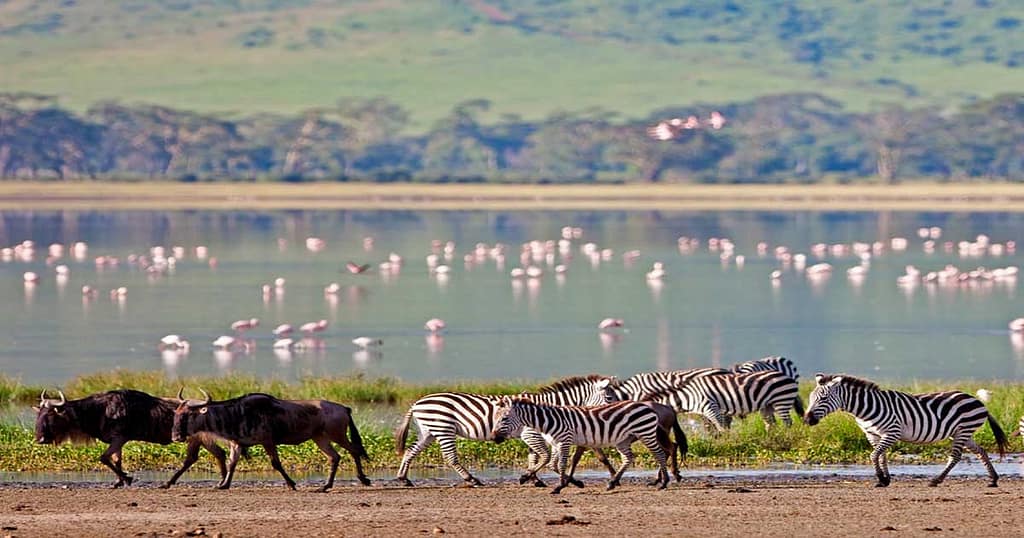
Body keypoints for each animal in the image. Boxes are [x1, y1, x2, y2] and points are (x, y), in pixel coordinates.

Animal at [393, 373, 610, 485]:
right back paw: (472, 479)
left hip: (428, 431)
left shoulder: (531, 436)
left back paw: (403, 478)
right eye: (610, 397)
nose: (612, 411)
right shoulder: (530, 433)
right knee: (450, 457)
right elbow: (544, 456)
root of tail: (417, 402)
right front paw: (535, 477)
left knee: (411, 451)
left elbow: (534, 457)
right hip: (443, 428)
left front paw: (533, 478)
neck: (547, 408)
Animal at [489, 395, 671, 493]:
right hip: (623, 439)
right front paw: (526, 477)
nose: (493, 438)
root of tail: (646, 405)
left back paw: (663, 483)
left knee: (660, 454)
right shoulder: (556, 443)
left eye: (504, 418)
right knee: (629, 458)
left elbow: (561, 464)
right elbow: (552, 464)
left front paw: (559, 487)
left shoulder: (565, 440)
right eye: (495, 418)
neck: (547, 422)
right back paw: (612, 483)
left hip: (645, 432)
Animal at [614, 368, 806, 432]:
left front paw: (727, 443)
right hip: (767, 406)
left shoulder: (710, 407)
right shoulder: (706, 411)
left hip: (782, 401)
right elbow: (713, 427)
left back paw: (787, 436)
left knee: (788, 422)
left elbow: (721, 427)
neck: (687, 396)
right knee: (771, 424)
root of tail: (787, 376)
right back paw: (771, 438)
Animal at [798, 373, 1007, 485]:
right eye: (811, 398)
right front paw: (885, 479)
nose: (807, 420)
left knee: (955, 456)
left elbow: (874, 455)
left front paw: (881, 479)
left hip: (963, 430)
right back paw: (993, 479)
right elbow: (881, 456)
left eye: (823, 399)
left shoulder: (892, 432)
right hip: (961, 433)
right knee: (981, 451)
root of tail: (976, 400)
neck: (866, 409)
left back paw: (936, 480)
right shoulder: (873, 435)